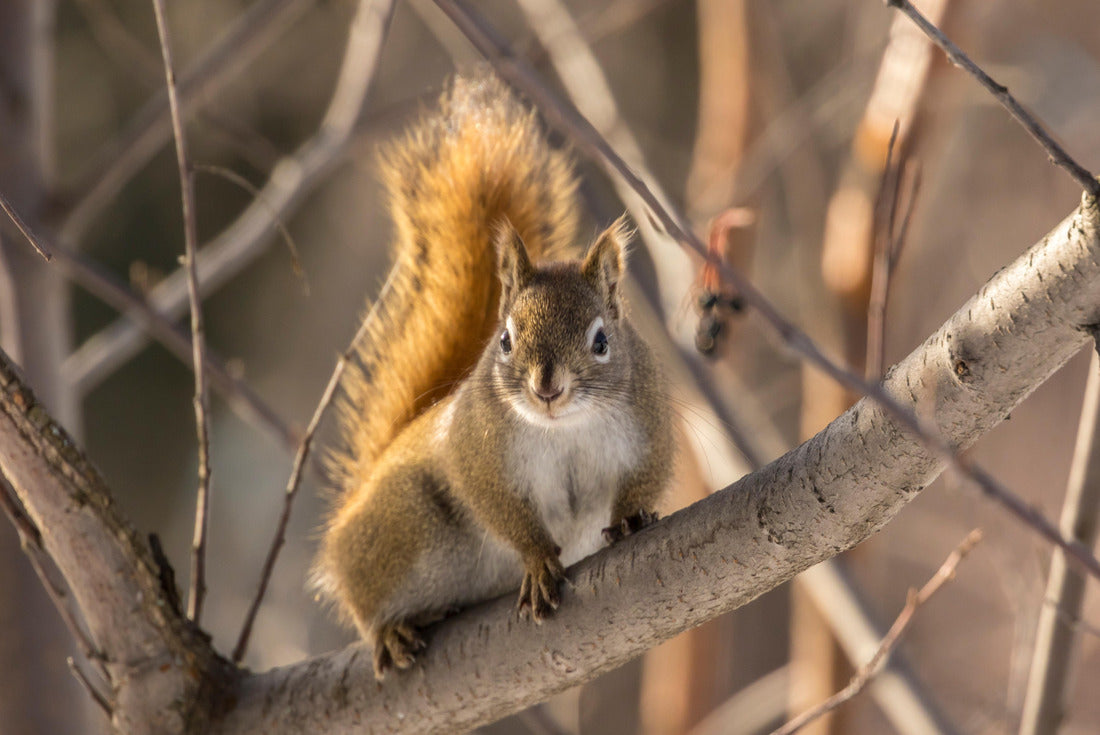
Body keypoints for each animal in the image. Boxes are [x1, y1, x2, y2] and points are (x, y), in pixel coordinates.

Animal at [312, 75, 674, 680]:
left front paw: (629, 519)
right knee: (363, 599)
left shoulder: (651, 425)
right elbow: (500, 509)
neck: (564, 428)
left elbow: (646, 477)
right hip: (402, 528)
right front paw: (538, 562)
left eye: (602, 341)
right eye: (504, 340)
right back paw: (389, 630)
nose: (546, 388)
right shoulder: (476, 454)